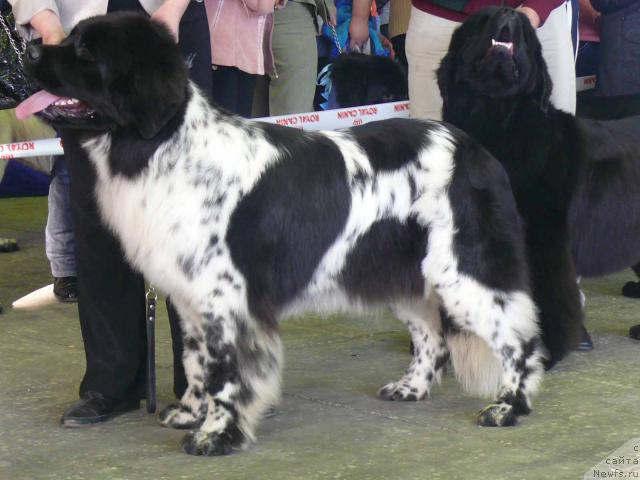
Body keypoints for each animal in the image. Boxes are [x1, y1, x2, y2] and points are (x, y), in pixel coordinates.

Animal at [17, 15, 544, 456]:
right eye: (71, 36)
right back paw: (410, 389)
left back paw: (508, 407)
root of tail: (476, 150)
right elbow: (194, 361)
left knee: (517, 339)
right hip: (401, 272)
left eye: (86, 51)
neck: (165, 145)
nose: (29, 44)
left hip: (463, 272)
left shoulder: (224, 298)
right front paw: (189, 413)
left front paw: (215, 436)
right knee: (432, 337)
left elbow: (224, 372)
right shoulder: (188, 296)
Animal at [438, 5, 640, 366]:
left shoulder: (545, 238)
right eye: (483, 18)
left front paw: (545, 352)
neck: (497, 121)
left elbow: (549, 298)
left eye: (524, 31)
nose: (508, 12)